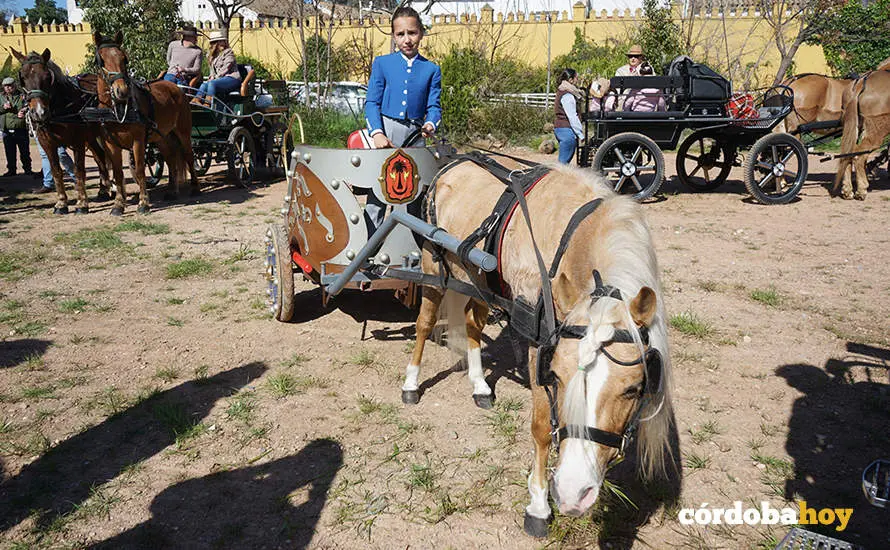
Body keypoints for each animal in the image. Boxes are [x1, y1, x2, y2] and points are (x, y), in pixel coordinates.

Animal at [12, 48, 113, 214]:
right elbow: (56, 171)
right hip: (91, 138)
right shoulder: (47, 143)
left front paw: (82, 203)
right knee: (100, 158)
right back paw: (103, 191)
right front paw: (61, 203)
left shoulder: (78, 141)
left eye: (47, 77)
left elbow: (79, 170)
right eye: (23, 77)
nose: (39, 112)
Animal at [92, 31, 197, 215]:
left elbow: (140, 170)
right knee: (170, 158)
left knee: (188, 155)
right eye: (102, 60)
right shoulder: (110, 144)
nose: (122, 91)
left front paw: (143, 203)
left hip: (183, 132)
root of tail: (176, 88)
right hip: (162, 136)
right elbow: (118, 173)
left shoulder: (138, 140)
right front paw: (118, 205)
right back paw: (172, 191)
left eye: (124, 59)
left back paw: (195, 188)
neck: (119, 108)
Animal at [403, 158, 674, 536]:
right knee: (424, 324)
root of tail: (453, 162)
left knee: (472, 323)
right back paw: (411, 383)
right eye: (555, 377)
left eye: (634, 389)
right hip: (433, 265)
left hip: (480, 277)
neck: (574, 236)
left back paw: (479, 385)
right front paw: (538, 505)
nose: (575, 492)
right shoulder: (536, 339)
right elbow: (542, 427)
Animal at [833, 69, 890, 200]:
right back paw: (861, 189)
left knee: (849, 154)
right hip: (874, 133)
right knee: (859, 156)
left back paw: (848, 190)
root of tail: (861, 82)